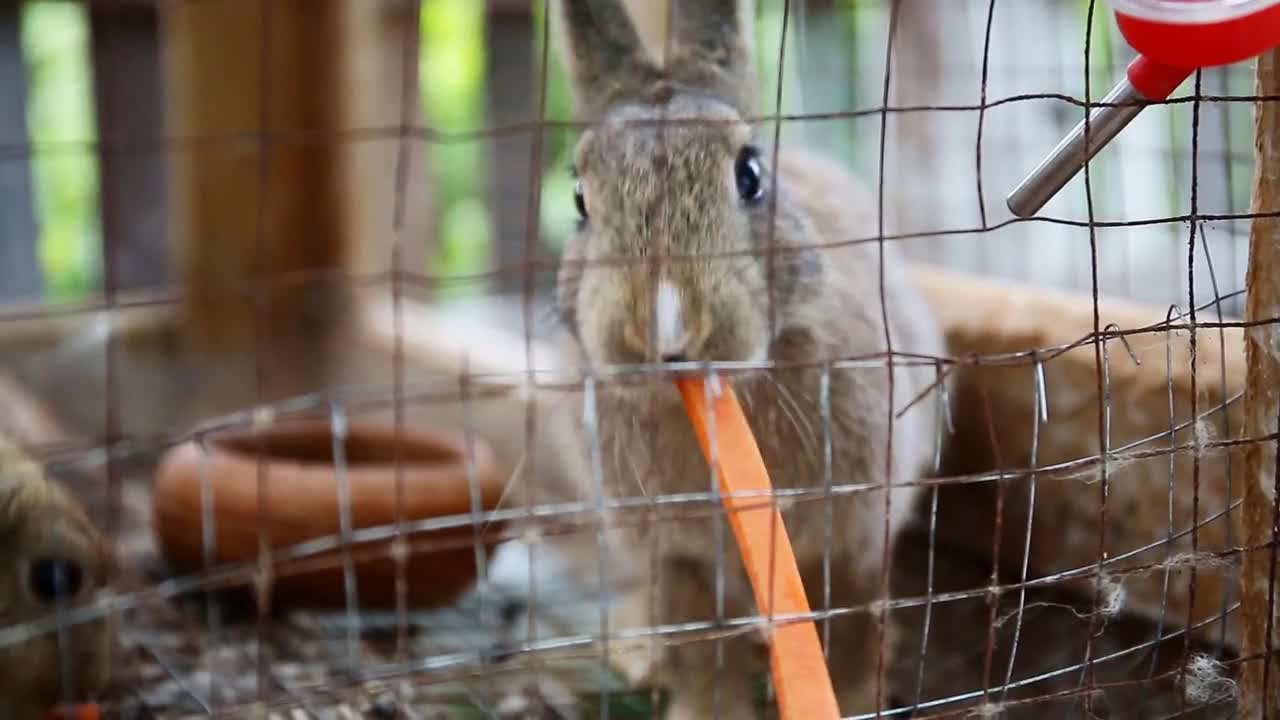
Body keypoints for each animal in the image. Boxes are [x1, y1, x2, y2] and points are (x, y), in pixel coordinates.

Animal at [481, 0, 952, 712]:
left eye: (750, 175)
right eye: (581, 201)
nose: (665, 326)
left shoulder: (854, 543)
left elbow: (848, 634)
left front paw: (849, 703)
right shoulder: (679, 558)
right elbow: (702, 650)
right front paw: (704, 709)